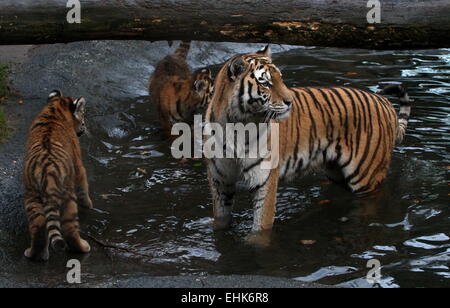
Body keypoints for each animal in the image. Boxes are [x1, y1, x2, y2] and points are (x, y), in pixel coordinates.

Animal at [24, 90, 93, 262]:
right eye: (83, 119)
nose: (83, 129)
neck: (56, 108)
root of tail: (46, 171)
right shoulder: (78, 165)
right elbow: (84, 186)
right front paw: (89, 204)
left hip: (31, 196)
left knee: (38, 226)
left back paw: (35, 255)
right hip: (68, 196)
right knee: (70, 229)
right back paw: (83, 247)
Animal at [207, 46, 412, 243]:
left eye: (281, 79)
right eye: (265, 83)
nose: (290, 101)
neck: (236, 125)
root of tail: (385, 103)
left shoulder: (263, 180)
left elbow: (261, 227)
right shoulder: (220, 180)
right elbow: (220, 219)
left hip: (366, 176)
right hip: (336, 171)